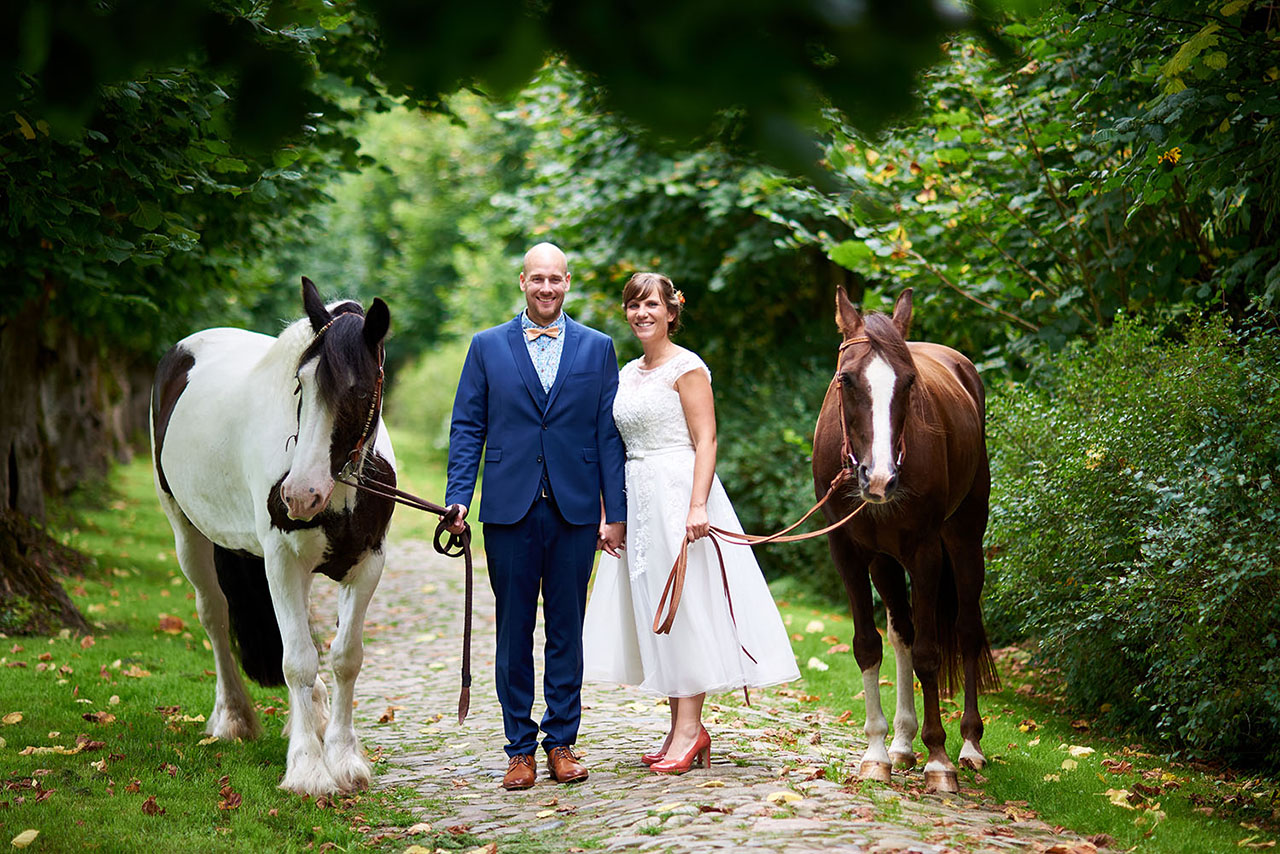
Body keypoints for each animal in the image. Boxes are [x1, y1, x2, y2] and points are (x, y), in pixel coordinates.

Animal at [149, 279, 391, 793]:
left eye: (359, 389)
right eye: (300, 383)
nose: (299, 495)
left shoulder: (367, 563)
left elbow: (345, 657)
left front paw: (344, 758)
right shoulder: (281, 559)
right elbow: (296, 658)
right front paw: (307, 769)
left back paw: (312, 713)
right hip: (187, 533)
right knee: (215, 617)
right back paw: (233, 718)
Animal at [808, 289, 998, 793]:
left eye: (909, 382)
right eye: (846, 379)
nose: (879, 477)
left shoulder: (925, 553)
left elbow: (931, 655)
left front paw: (939, 760)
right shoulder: (850, 554)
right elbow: (868, 645)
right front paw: (878, 752)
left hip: (965, 539)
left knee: (967, 631)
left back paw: (968, 745)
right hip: (885, 562)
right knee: (903, 634)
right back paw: (902, 743)